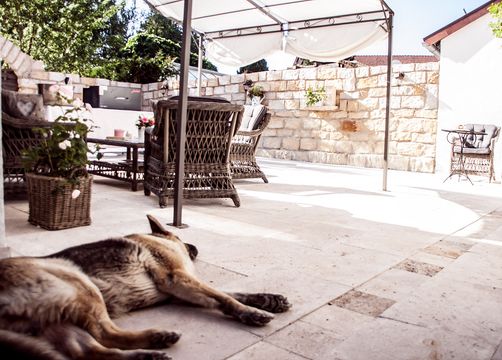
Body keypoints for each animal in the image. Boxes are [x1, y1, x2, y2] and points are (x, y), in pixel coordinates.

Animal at [0, 215, 290, 358]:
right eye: (182, 236)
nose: (196, 247)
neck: (157, 238)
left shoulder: (179, 292)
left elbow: (230, 293)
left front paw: (268, 299)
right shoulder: (178, 279)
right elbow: (224, 297)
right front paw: (250, 313)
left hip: (58, 321)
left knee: (88, 351)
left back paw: (148, 351)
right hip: (79, 284)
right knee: (106, 334)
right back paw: (154, 340)